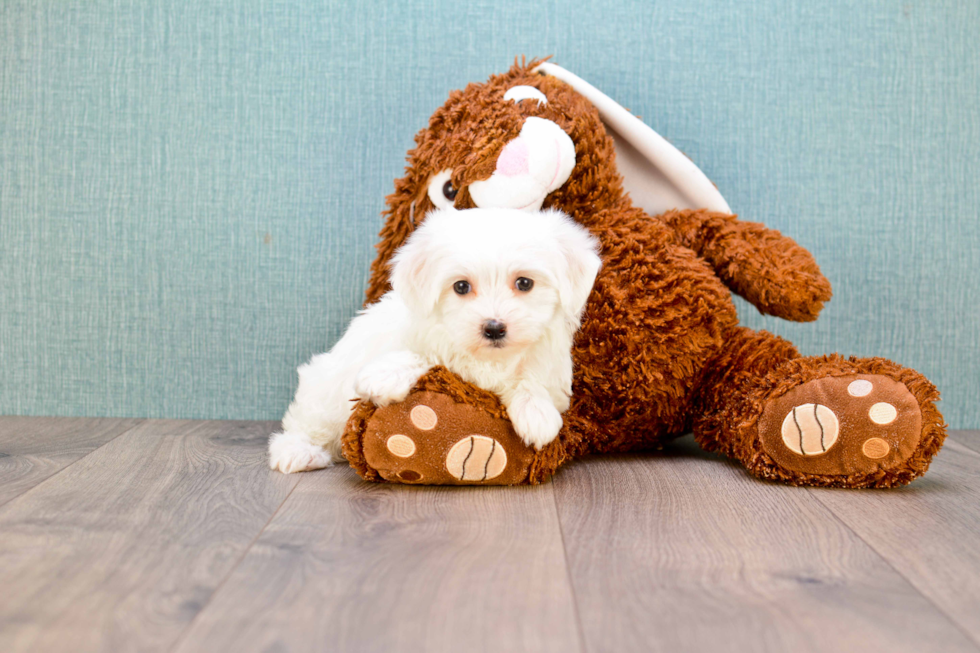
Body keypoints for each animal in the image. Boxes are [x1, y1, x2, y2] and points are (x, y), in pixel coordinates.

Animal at [272, 208, 600, 474]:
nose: (494, 328)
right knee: (305, 423)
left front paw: (537, 414)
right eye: (461, 287)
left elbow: (533, 378)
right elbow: (422, 356)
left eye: (524, 283)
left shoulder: (552, 371)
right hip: (325, 391)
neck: (489, 359)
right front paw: (383, 376)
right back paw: (298, 453)